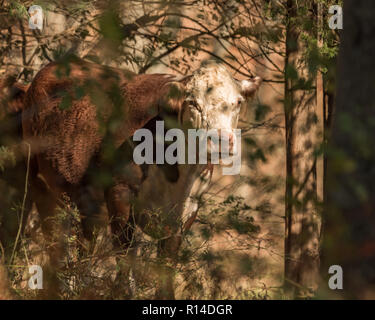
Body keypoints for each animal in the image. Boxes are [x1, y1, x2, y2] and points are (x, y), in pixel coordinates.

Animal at [5, 58, 262, 300]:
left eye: (238, 102)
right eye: (193, 103)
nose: (222, 141)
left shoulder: (188, 208)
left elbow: (167, 262)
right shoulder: (120, 190)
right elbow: (126, 254)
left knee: (83, 244)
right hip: (37, 184)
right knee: (46, 239)